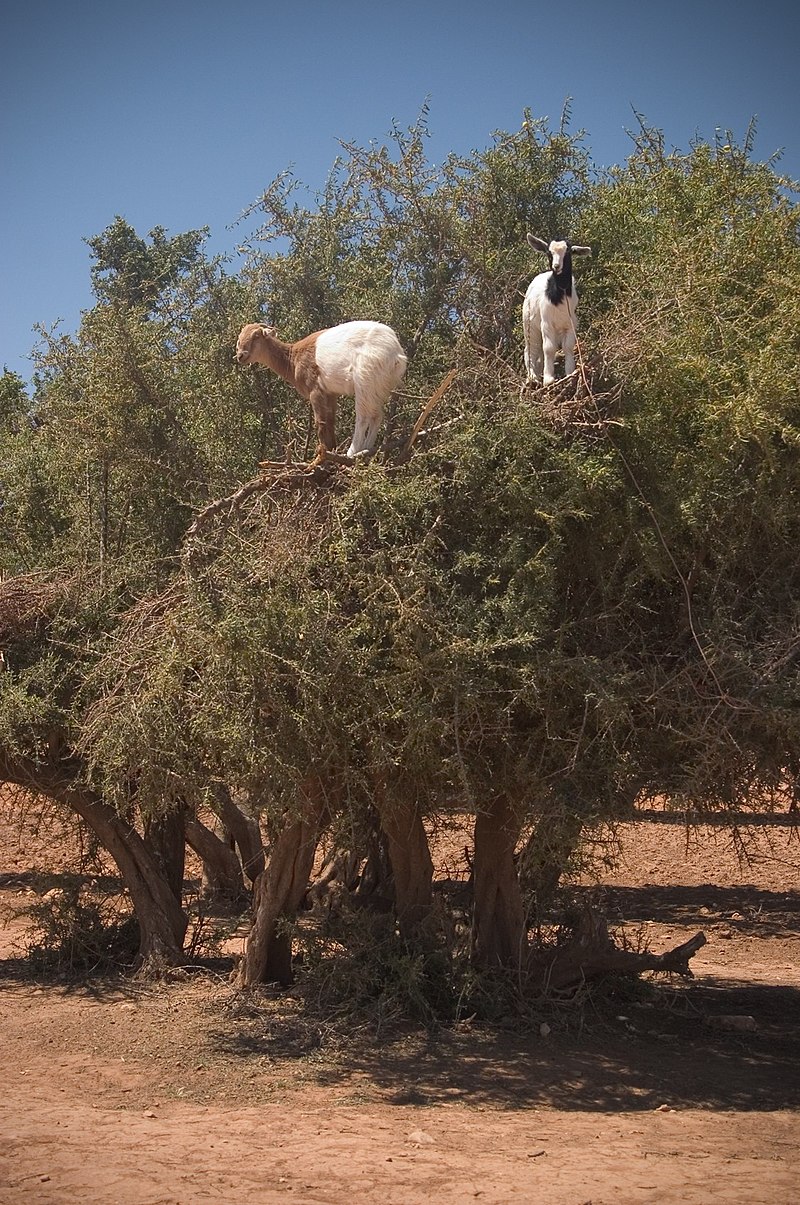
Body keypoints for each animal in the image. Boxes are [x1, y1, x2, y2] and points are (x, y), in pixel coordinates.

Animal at [232, 318, 407, 457]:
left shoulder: (315, 390)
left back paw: (352, 452)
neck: (293, 358)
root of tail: (395, 353)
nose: (241, 355)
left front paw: (323, 454)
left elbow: (320, 423)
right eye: (239, 339)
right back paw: (367, 448)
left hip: (365, 380)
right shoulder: (330, 393)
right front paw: (332, 450)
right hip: (378, 386)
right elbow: (330, 421)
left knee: (364, 417)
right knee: (377, 416)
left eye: (256, 336)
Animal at [522, 233, 590, 385]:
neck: (559, 296)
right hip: (529, 324)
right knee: (531, 349)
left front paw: (570, 373)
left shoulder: (570, 323)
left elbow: (568, 346)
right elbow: (549, 348)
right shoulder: (546, 323)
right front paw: (548, 379)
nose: (556, 266)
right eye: (549, 253)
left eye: (569, 251)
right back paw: (533, 378)